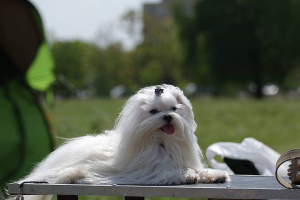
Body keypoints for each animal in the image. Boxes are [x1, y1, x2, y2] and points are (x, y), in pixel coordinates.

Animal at [11, 85, 229, 199]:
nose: (168, 117)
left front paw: (215, 174)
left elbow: (200, 170)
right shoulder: (149, 172)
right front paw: (187, 175)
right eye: (153, 111)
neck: (162, 141)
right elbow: (172, 172)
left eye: (174, 108)